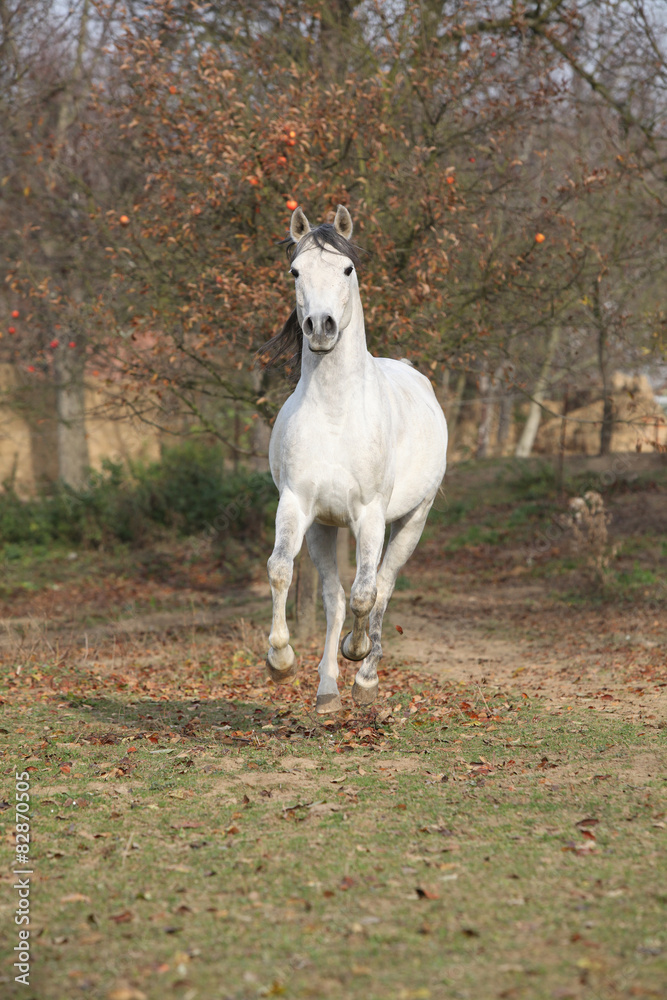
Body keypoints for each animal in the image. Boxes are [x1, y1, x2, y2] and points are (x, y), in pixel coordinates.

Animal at [263, 204, 447, 713]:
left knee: (383, 586)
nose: (320, 327)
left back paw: (365, 675)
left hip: (413, 521)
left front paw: (357, 649)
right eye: (295, 271)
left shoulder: (370, 515)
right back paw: (328, 689)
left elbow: (368, 592)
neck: (335, 411)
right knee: (333, 597)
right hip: (324, 528)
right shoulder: (296, 505)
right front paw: (280, 660)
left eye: (347, 269)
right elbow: (281, 570)